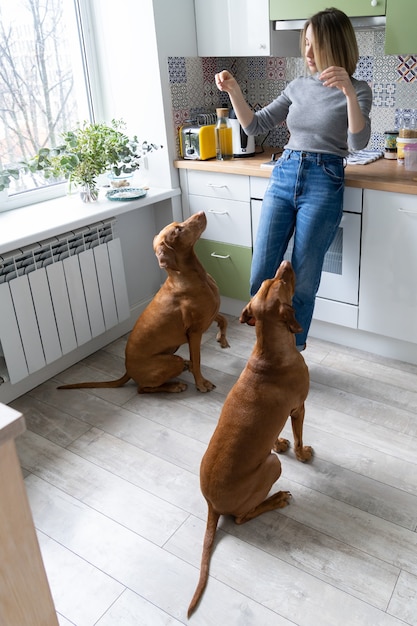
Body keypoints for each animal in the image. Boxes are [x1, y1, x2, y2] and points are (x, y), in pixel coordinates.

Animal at [57, 212, 228, 392]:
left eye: (178, 224)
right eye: (178, 230)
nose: (201, 212)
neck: (194, 276)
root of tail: (128, 370)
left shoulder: (209, 315)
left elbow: (224, 320)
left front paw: (222, 339)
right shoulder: (194, 332)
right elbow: (198, 361)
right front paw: (201, 383)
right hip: (171, 361)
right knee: (143, 388)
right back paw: (174, 386)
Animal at [187, 258, 310, 616]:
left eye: (269, 281)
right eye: (280, 281)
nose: (285, 261)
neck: (268, 350)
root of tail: (212, 505)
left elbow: (276, 436)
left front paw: (279, 442)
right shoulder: (299, 408)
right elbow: (299, 438)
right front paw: (302, 453)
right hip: (270, 468)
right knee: (242, 517)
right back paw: (276, 499)